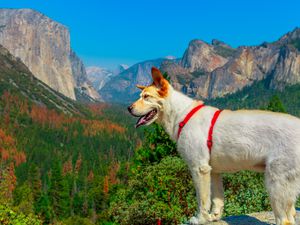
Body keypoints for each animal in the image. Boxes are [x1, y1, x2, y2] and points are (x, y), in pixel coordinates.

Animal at [127, 67, 300, 225]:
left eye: (147, 97)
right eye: (140, 96)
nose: (128, 108)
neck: (181, 114)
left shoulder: (199, 169)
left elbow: (202, 200)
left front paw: (200, 219)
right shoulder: (213, 171)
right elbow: (217, 198)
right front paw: (214, 216)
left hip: (275, 184)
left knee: (285, 219)